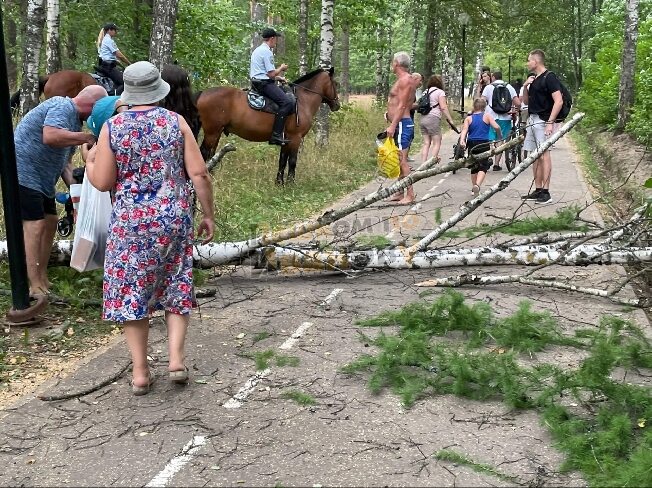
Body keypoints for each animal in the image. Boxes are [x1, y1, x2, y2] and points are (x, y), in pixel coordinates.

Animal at [196, 66, 342, 185]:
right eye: (335, 83)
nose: (337, 105)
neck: (302, 101)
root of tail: (202, 93)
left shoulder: (286, 139)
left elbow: (282, 160)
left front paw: (279, 183)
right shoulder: (295, 138)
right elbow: (292, 161)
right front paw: (290, 184)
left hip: (216, 133)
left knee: (212, 154)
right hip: (212, 133)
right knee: (204, 153)